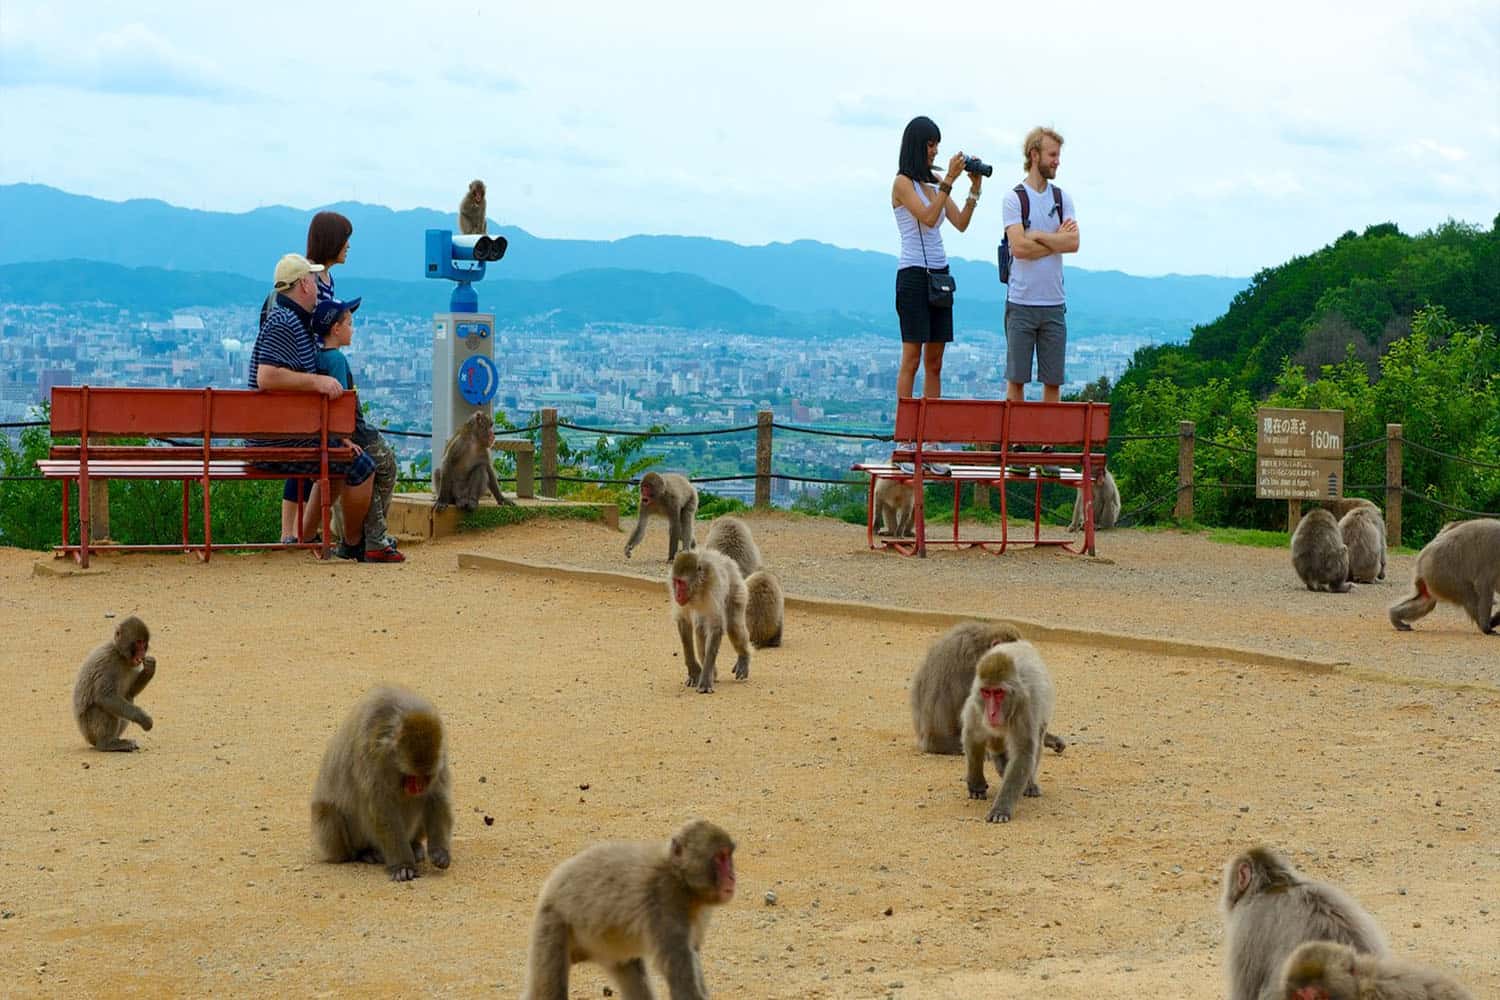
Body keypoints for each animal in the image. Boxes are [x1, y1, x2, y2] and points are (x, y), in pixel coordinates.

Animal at [72, 616, 155, 752]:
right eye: (138, 642)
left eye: (144, 643)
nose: (142, 653)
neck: (120, 655)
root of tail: (87, 738)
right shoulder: (107, 663)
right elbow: (105, 696)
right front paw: (143, 718)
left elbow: (131, 692)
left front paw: (150, 668)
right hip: (90, 729)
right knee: (105, 708)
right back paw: (106, 744)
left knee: (127, 698)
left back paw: (116, 740)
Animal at [310, 686, 454, 882]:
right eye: (411, 777)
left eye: (425, 777)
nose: (418, 788)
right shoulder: (371, 754)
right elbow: (382, 808)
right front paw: (403, 865)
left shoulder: (440, 756)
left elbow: (436, 797)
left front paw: (440, 852)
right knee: (329, 813)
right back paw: (364, 852)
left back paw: (414, 845)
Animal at [522, 819, 735, 1000]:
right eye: (720, 857)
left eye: (729, 855)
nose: (732, 877)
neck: (681, 881)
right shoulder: (664, 904)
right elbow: (681, 983)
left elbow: (694, 952)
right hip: (552, 923)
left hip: (611, 952)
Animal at [669, 549, 751, 694]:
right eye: (675, 581)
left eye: (682, 583)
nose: (677, 594)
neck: (697, 590)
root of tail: (727, 560)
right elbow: (684, 623)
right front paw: (694, 671)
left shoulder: (714, 586)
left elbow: (716, 626)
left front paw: (705, 679)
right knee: (700, 628)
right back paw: (714, 672)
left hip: (737, 588)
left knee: (734, 627)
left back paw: (744, 658)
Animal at [960, 639, 1056, 823]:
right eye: (986, 692)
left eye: (998, 693)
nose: (991, 713)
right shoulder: (977, 706)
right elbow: (973, 736)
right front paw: (976, 784)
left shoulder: (1024, 710)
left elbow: (1023, 753)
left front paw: (1000, 809)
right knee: (995, 739)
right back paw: (1000, 761)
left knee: (1036, 741)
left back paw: (1029, 783)